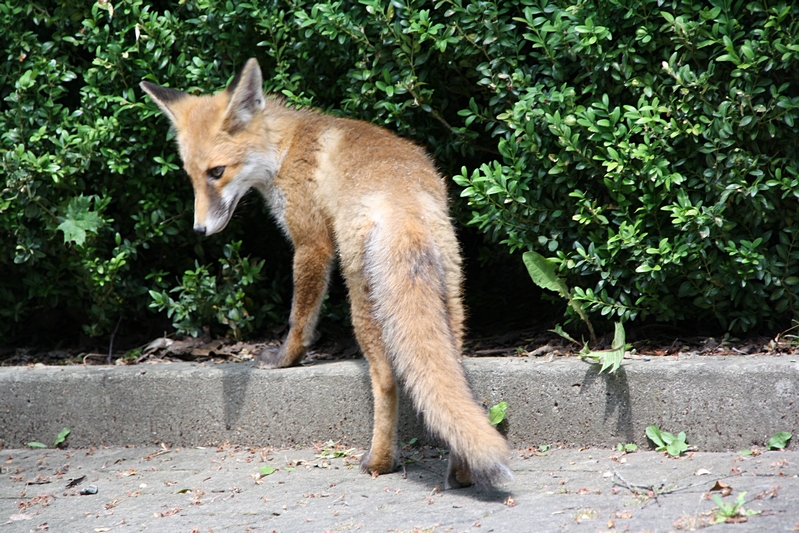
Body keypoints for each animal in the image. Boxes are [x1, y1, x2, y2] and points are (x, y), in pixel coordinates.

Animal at [140, 58, 512, 489]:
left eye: (217, 172)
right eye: (191, 175)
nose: (199, 230)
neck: (284, 149)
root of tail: (404, 207)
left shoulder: (311, 243)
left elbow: (299, 318)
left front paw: (286, 359)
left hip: (363, 307)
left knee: (387, 381)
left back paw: (380, 462)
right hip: (450, 301)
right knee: (455, 381)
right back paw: (462, 472)